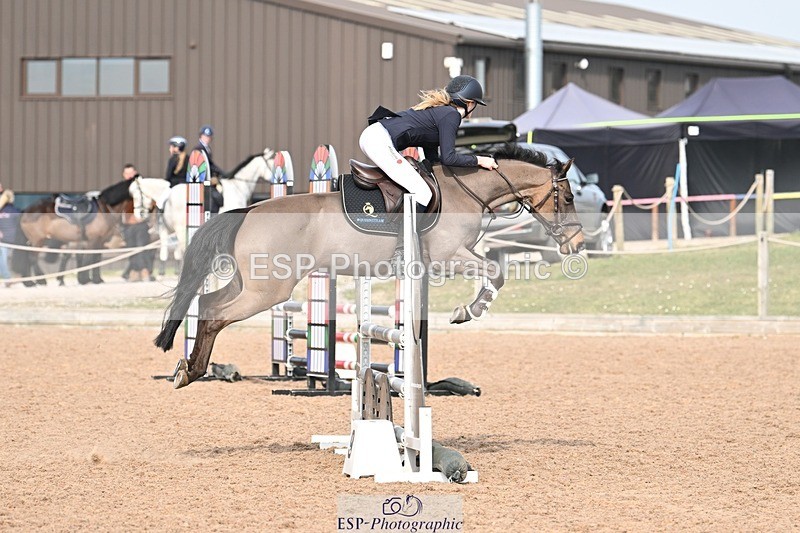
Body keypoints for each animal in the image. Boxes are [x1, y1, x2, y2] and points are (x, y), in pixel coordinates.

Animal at [130, 148, 276, 271]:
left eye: (138, 195)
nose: (138, 214)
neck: (237, 187)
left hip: (167, 230)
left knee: (167, 253)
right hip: (180, 229)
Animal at [154, 144, 586, 389]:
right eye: (567, 196)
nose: (578, 243)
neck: (466, 190)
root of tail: (248, 211)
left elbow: (493, 272)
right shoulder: (449, 257)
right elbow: (495, 272)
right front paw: (468, 311)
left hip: (252, 284)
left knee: (208, 303)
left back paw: (188, 369)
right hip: (268, 290)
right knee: (216, 314)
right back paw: (190, 372)